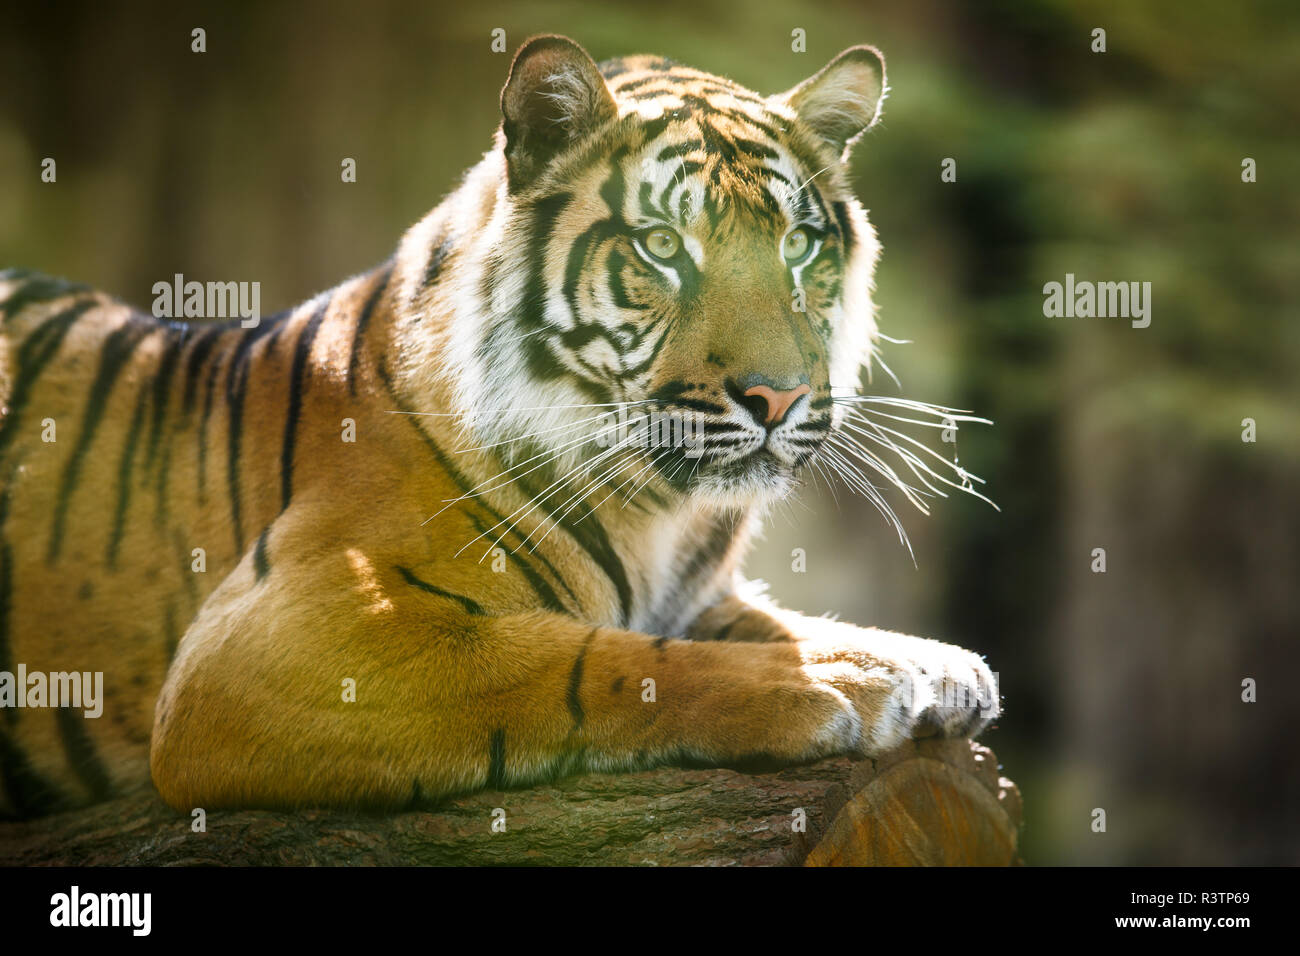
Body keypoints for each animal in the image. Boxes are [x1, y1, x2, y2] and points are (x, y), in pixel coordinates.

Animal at [0, 33, 993, 816]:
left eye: (798, 245)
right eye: (662, 247)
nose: (778, 398)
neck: (661, 514)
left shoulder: (707, 597)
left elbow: (780, 621)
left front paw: (930, 665)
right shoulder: (270, 640)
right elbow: (588, 659)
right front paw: (830, 685)